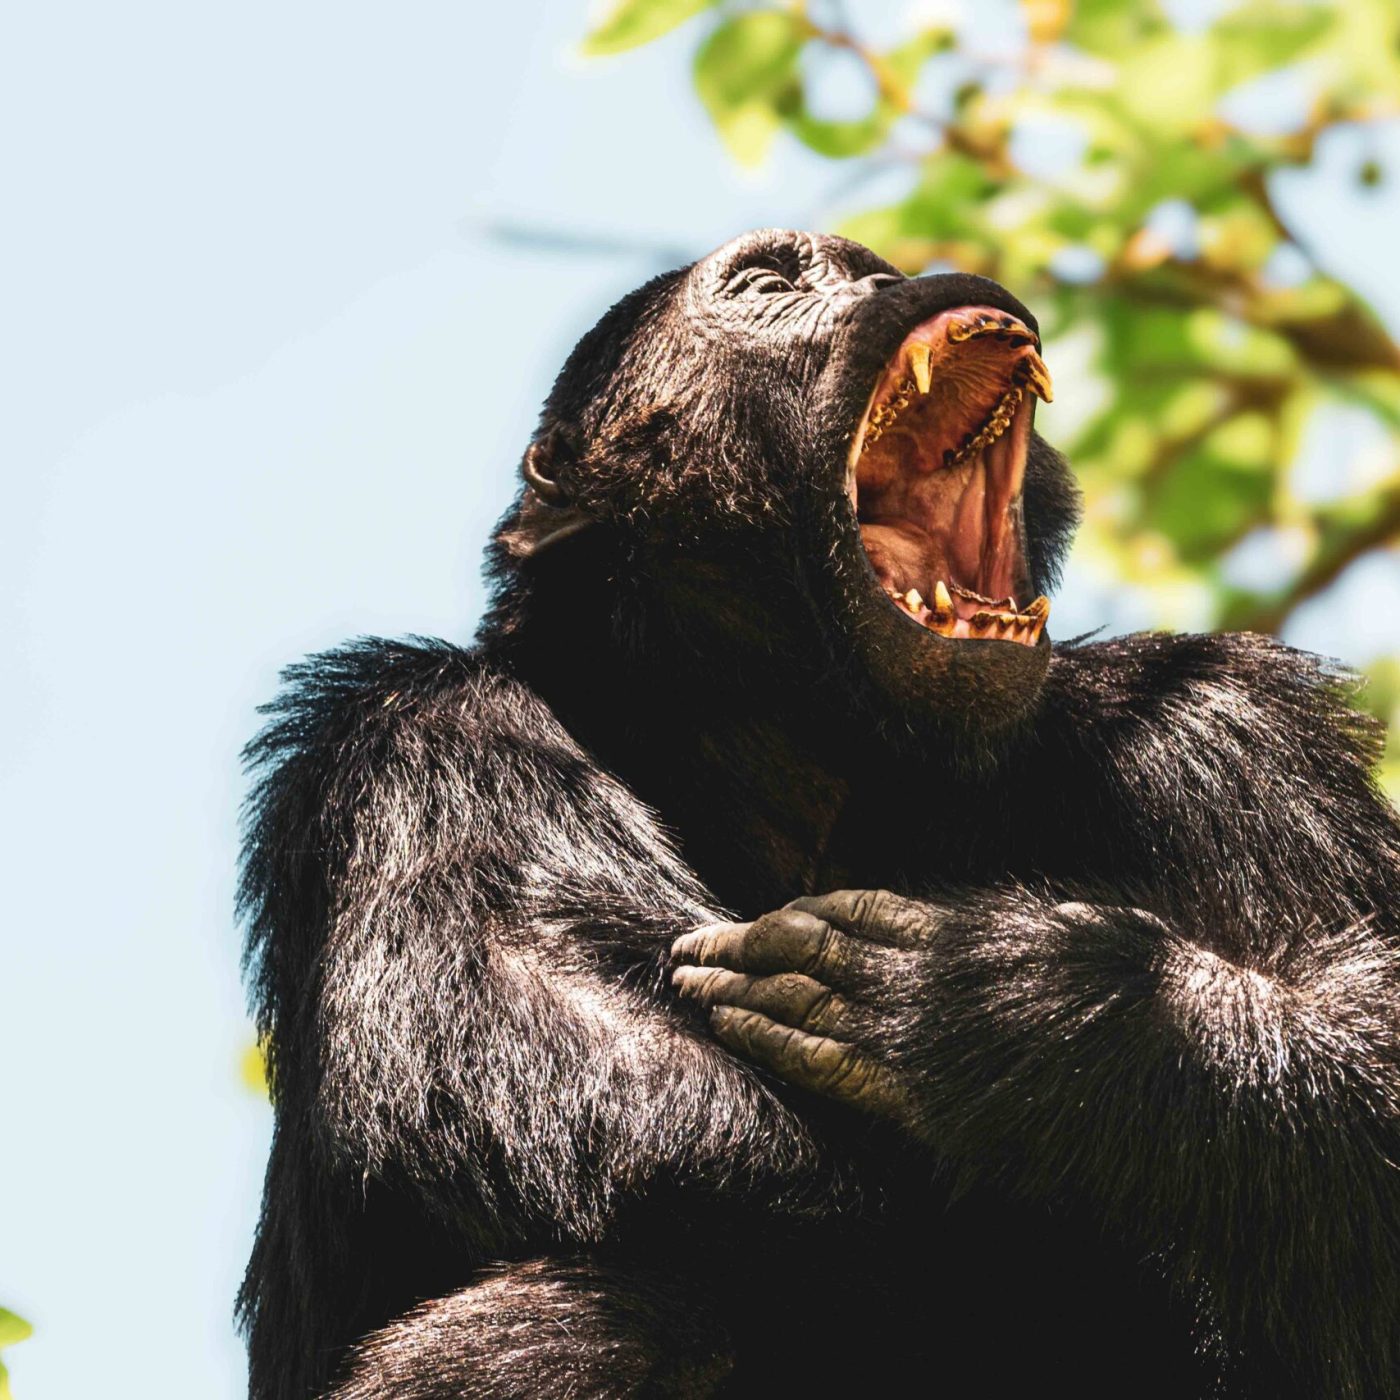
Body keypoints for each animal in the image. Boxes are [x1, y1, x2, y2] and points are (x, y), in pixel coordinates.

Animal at [240, 229, 1400, 1400]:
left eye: (868, 266)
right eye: (770, 285)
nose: (887, 283)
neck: (813, 748)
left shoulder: (1221, 730)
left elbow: (1369, 1047)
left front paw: (1013, 1007)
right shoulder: (416, 745)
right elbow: (603, 1074)